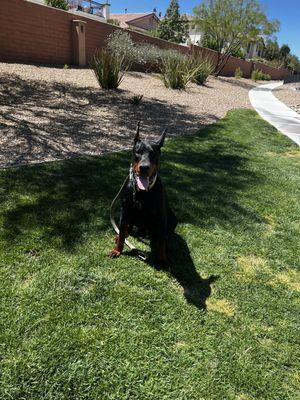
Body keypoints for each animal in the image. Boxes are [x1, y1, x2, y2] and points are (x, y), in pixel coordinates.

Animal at [109, 122, 177, 266]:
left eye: (153, 154)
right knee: (126, 229)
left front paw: (162, 259)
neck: (142, 192)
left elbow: (161, 241)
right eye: (138, 152)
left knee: (162, 236)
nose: (144, 167)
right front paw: (117, 250)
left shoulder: (161, 217)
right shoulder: (125, 211)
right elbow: (122, 232)